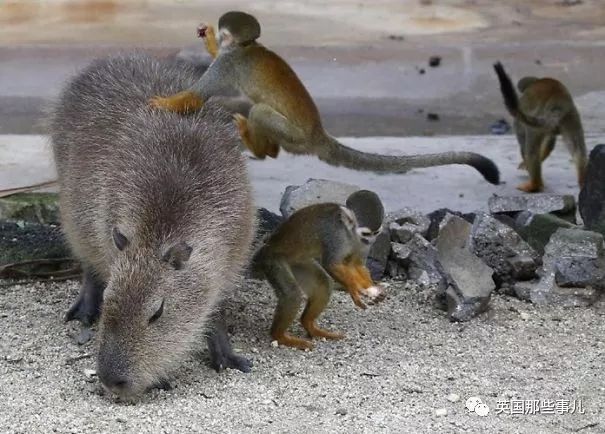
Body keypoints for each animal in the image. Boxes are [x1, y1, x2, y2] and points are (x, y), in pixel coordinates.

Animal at [151, 11, 500, 185]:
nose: (217, 34)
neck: (246, 48)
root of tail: (319, 134)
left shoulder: (230, 62)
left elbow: (197, 96)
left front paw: (162, 103)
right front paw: (208, 38)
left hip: (296, 136)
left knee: (260, 110)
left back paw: (261, 148)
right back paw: (266, 149)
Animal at [251, 193, 384, 350]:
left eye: (375, 233)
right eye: (366, 234)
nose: (370, 241)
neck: (349, 233)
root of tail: (267, 248)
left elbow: (356, 264)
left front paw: (370, 288)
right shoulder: (335, 235)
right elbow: (331, 264)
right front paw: (354, 289)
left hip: (297, 262)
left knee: (323, 283)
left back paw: (309, 325)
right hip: (273, 261)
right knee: (293, 295)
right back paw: (279, 336)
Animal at [490, 62, 584, 192]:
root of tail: (558, 102)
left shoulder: (520, 121)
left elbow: (524, 144)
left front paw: (526, 165)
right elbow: (550, 143)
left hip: (542, 117)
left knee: (530, 148)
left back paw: (534, 185)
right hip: (570, 115)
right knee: (578, 150)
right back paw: (583, 180)